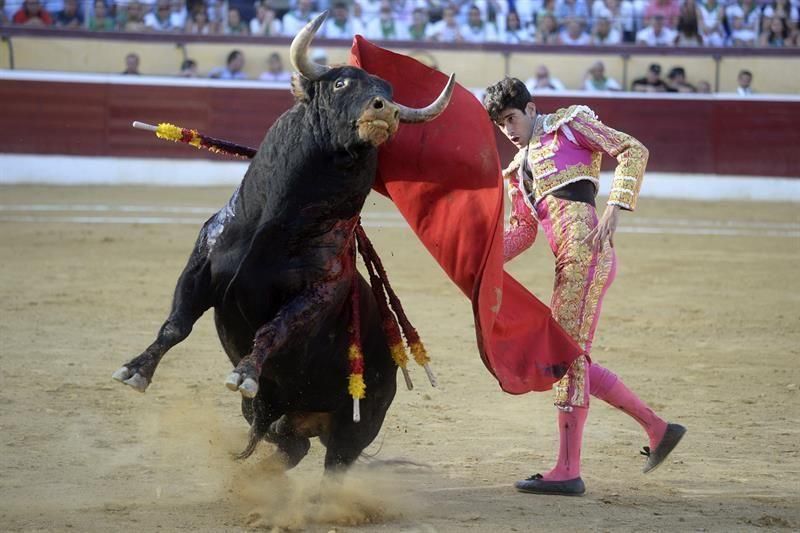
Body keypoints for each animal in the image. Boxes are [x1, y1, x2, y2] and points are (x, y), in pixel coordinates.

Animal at [111, 14, 456, 470]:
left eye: (388, 92)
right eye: (340, 83)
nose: (387, 110)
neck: (273, 227)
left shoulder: (316, 293)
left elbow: (273, 330)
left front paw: (243, 373)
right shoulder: (201, 264)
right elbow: (176, 325)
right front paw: (135, 371)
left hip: (358, 424)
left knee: (332, 460)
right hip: (274, 415)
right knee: (288, 443)